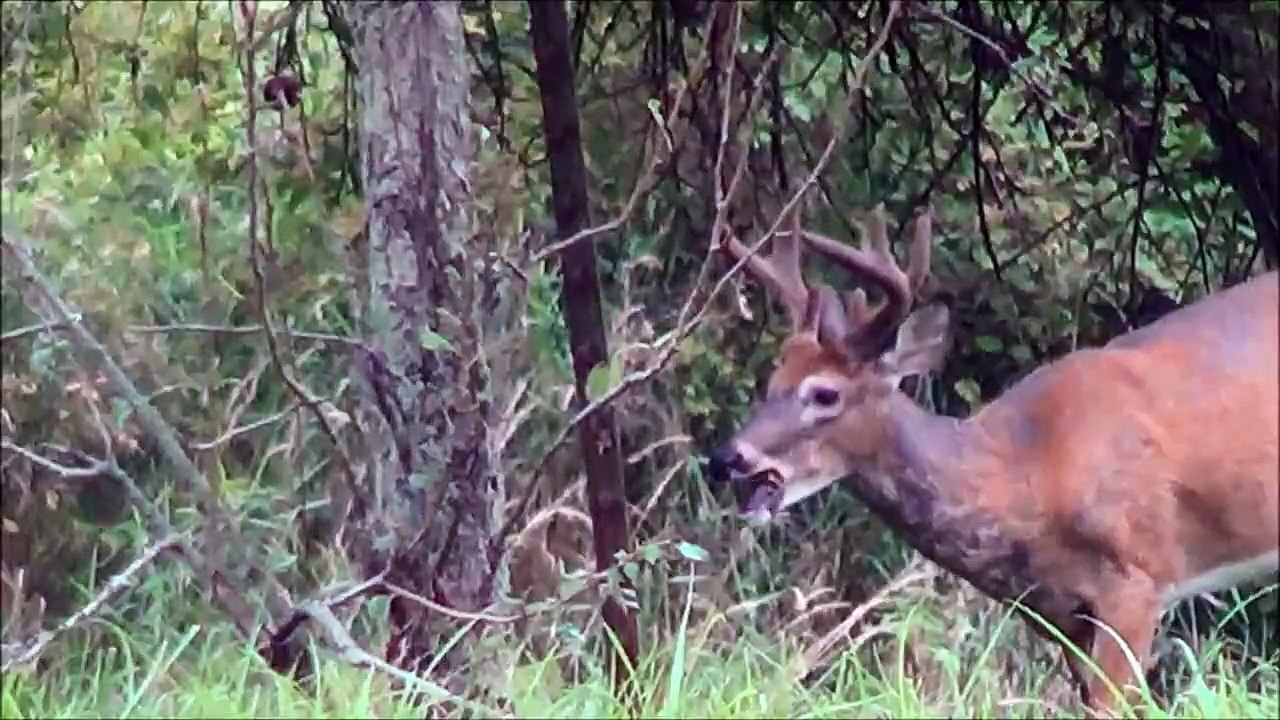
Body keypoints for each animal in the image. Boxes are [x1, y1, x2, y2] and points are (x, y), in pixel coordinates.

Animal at [705, 201, 1279, 715]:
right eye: (771, 382)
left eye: (825, 394)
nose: (728, 458)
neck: (1026, 470)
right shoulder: (1058, 612)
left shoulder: (1137, 577)